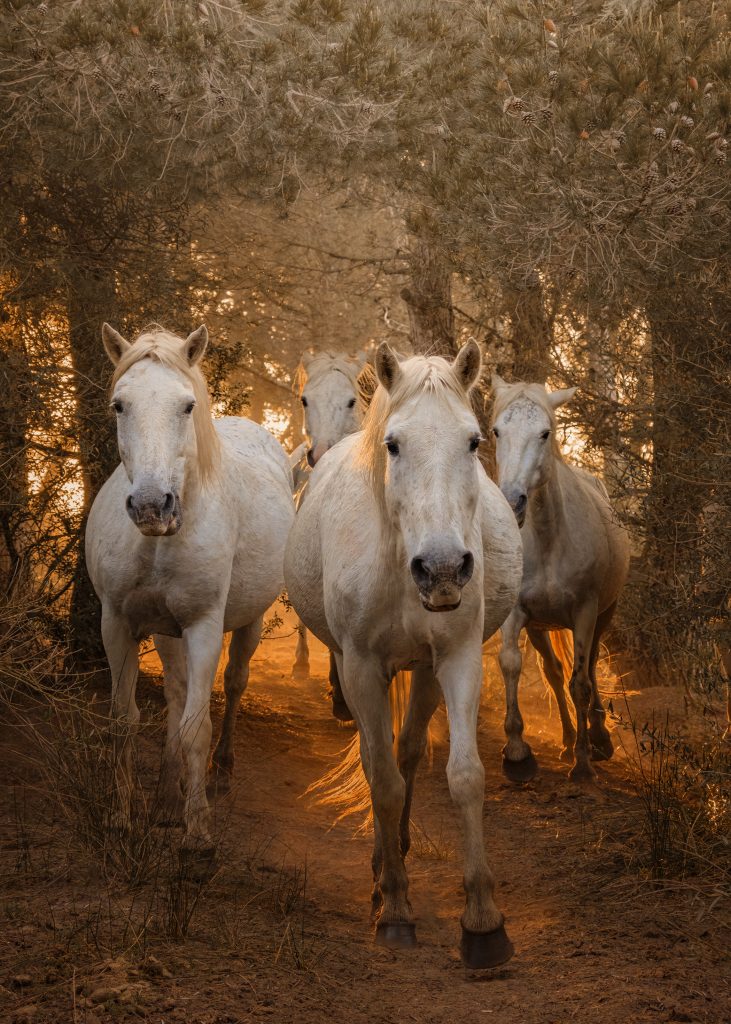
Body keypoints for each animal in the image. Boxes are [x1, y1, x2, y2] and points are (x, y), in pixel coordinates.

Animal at [86, 324, 295, 864]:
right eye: (120, 404)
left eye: (186, 406)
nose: (151, 505)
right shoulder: (118, 624)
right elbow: (126, 720)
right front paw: (122, 816)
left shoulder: (203, 627)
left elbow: (197, 726)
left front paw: (198, 833)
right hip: (166, 632)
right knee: (176, 695)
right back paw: (164, 799)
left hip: (247, 623)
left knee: (235, 683)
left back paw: (219, 773)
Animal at [284, 341, 523, 968]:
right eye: (393, 444)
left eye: (473, 441)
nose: (441, 569)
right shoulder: (362, 668)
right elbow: (383, 781)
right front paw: (394, 908)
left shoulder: (457, 660)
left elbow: (464, 776)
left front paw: (483, 921)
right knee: (378, 761)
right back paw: (381, 873)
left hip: (424, 673)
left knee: (409, 751)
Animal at [491, 376, 630, 785]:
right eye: (496, 431)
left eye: (545, 433)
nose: (512, 502)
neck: (548, 538)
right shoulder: (517, 613)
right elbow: (511, 665)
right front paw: (517, 754)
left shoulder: (585, 612)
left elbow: (580, 682)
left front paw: (584, 763)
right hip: (540, 627)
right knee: (553, 674)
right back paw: (568, 740)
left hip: (603, 616)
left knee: (589, 667)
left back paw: (597, 740)